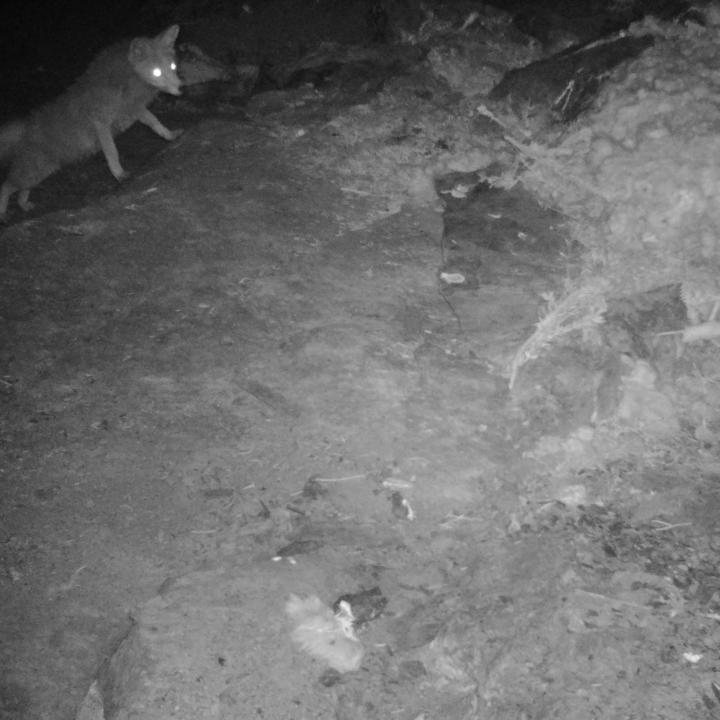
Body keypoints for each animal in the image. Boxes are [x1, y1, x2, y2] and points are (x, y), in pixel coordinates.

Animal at [0, 24, 183, 219]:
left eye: (172, 66)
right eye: (157, 72)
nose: (181, 88)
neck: (125, 82)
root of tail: (25, 127)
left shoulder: (135, 110)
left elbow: (156, 123)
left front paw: (170, 135)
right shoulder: (101, 124)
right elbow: (112, 152)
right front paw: (119, 174)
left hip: (40, 172)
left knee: (21, 190)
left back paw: (24, 205)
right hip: (34, 171)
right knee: (6, 186)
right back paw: (3, 213)